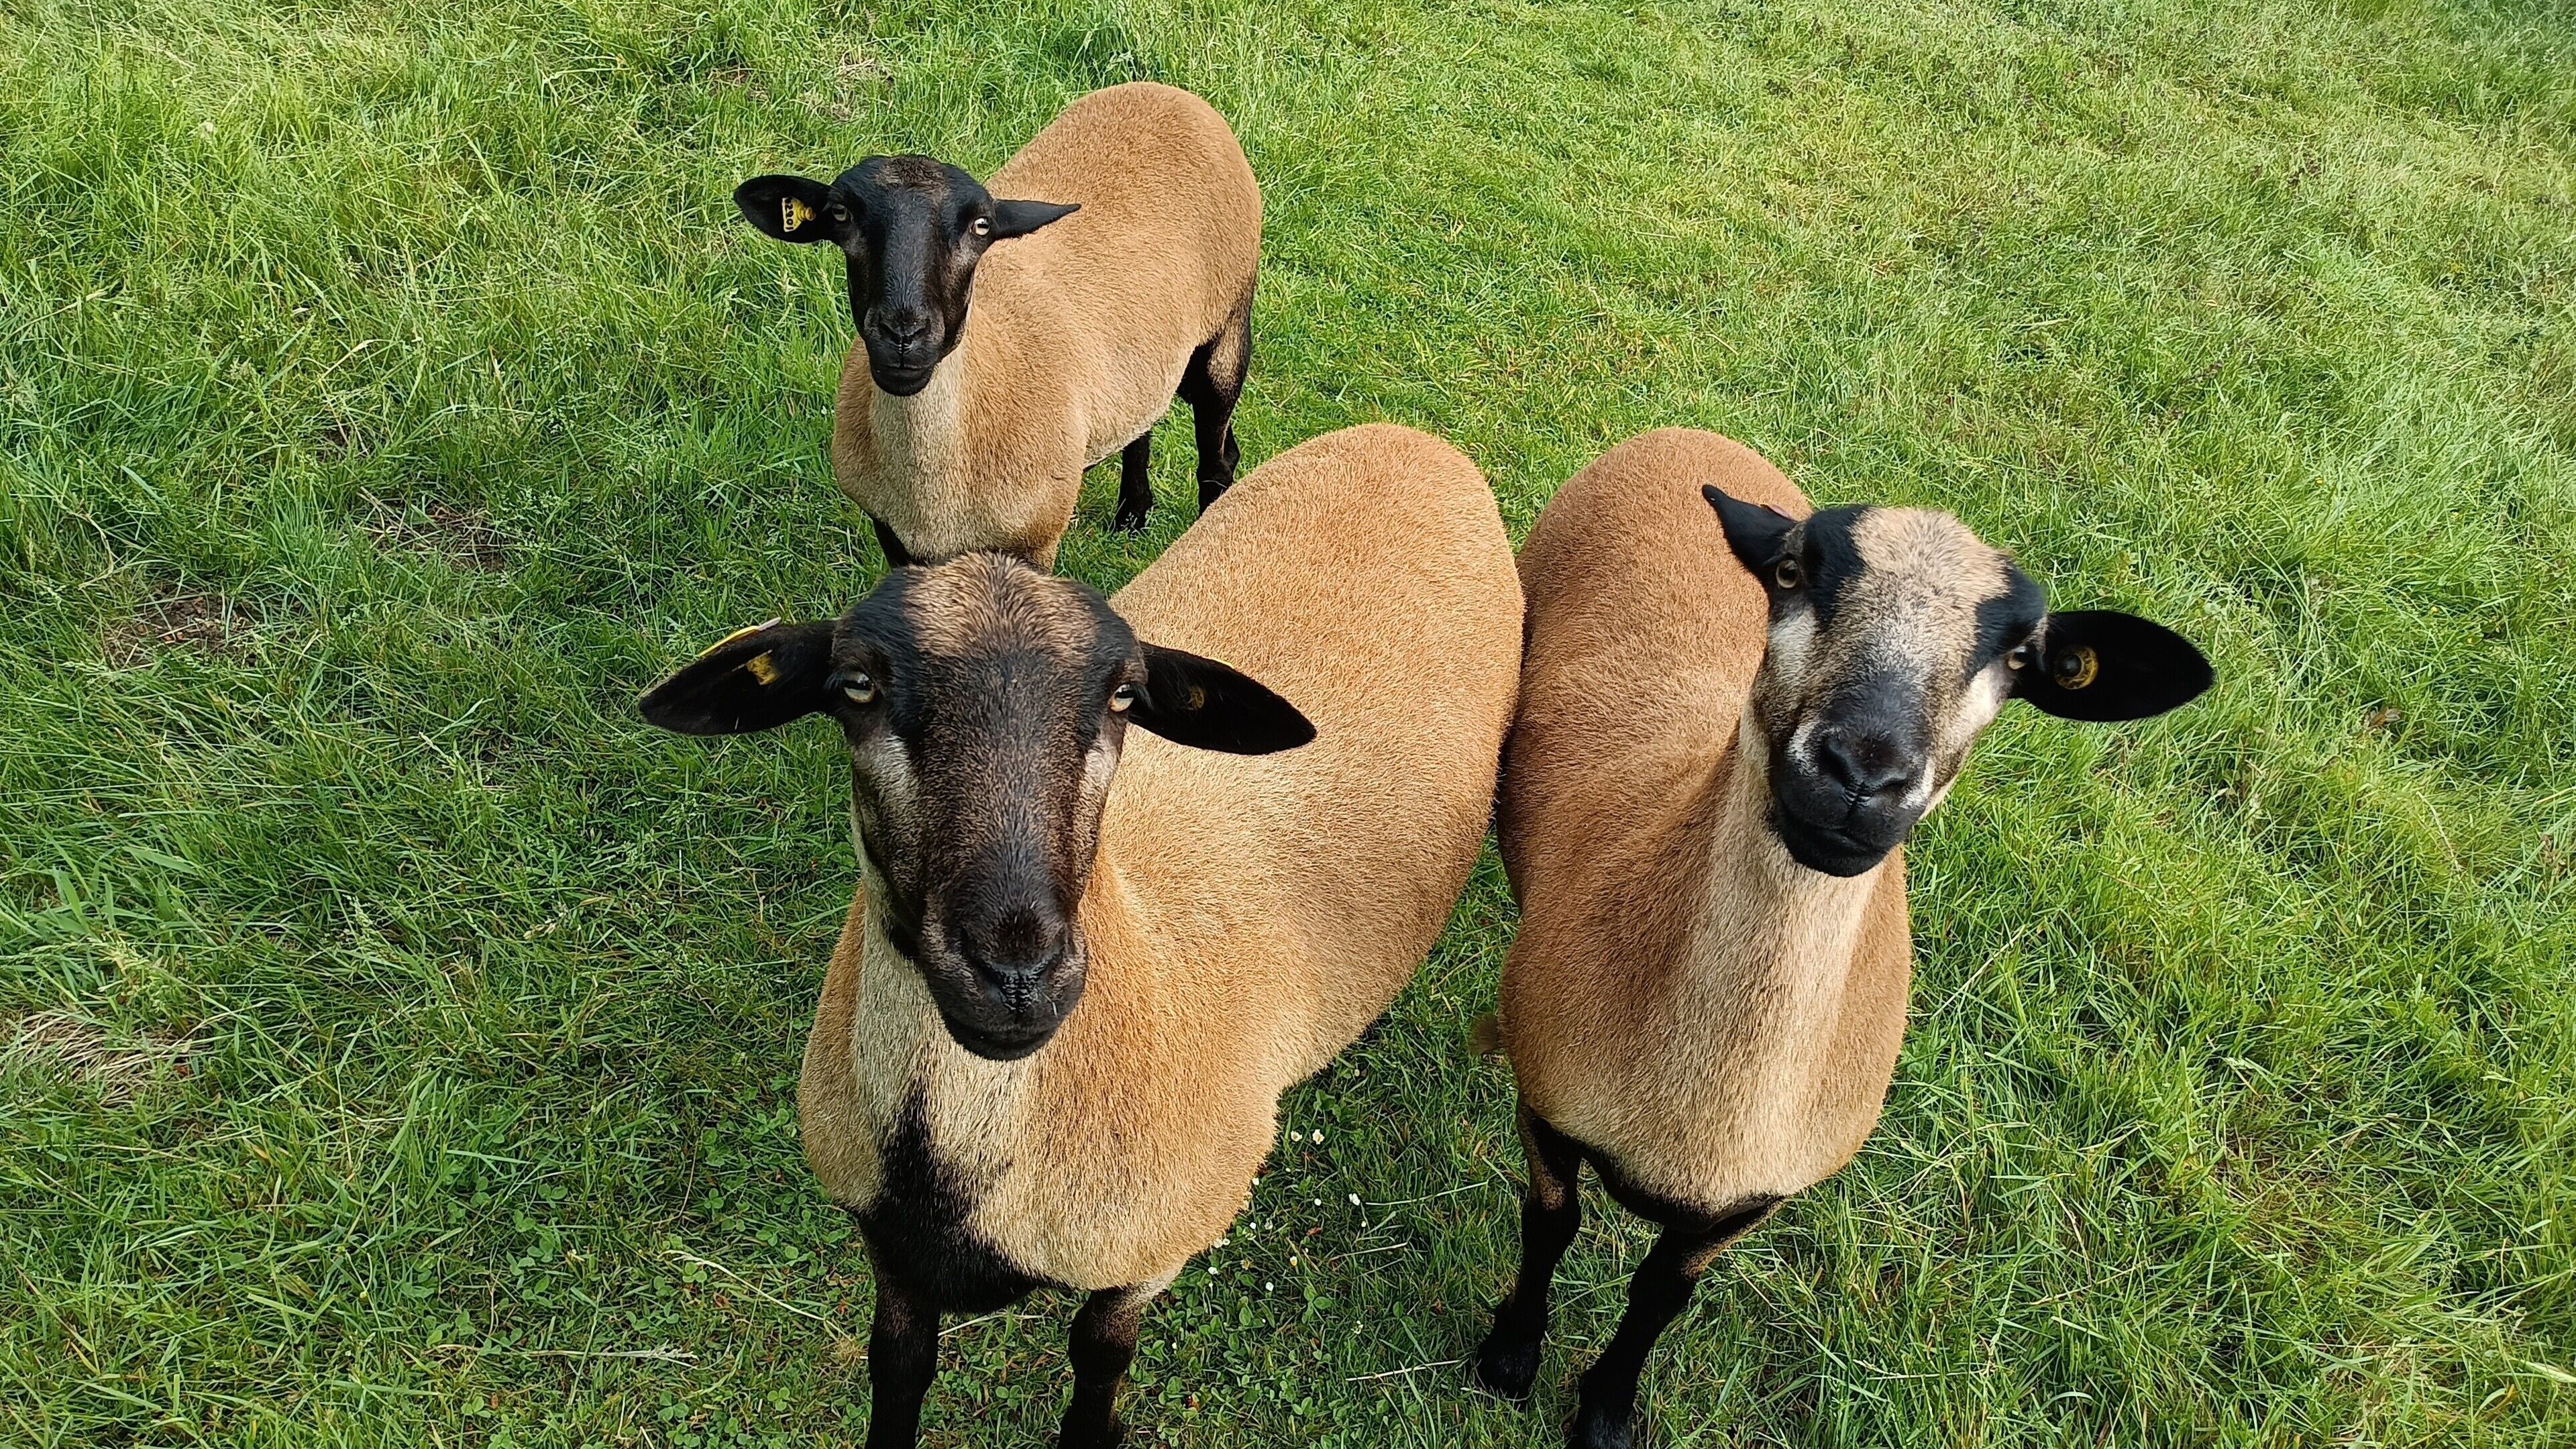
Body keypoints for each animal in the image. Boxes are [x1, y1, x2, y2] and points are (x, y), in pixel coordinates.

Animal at [638, 424, 1521, 1448]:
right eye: (855, 688)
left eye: (1126, 698)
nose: (1016, 973)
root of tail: (1413, 436)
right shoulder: (888, 1255)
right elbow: (896, 1367)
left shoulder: (1146, 1258)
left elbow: (1098, 1365)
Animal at [735, 81, 1261, 570]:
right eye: (840, 215)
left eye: (982, 226)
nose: (903, 337)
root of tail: (1173, 94)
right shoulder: (891, 534)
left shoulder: (1035, 541)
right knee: (1143, 425)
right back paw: (1132, 515)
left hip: (1228, 326)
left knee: (1218, 459)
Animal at [1471, 429, 2213, 1449]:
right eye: (1792, 572)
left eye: (2025, 657)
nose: (1862, 774)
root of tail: (1687, 435)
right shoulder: (1550, 1106)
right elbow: (1552, 1223)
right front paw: (1509, 1357)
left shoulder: (1757, 1197)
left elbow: (1662, 1295)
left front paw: (1608, 1414)